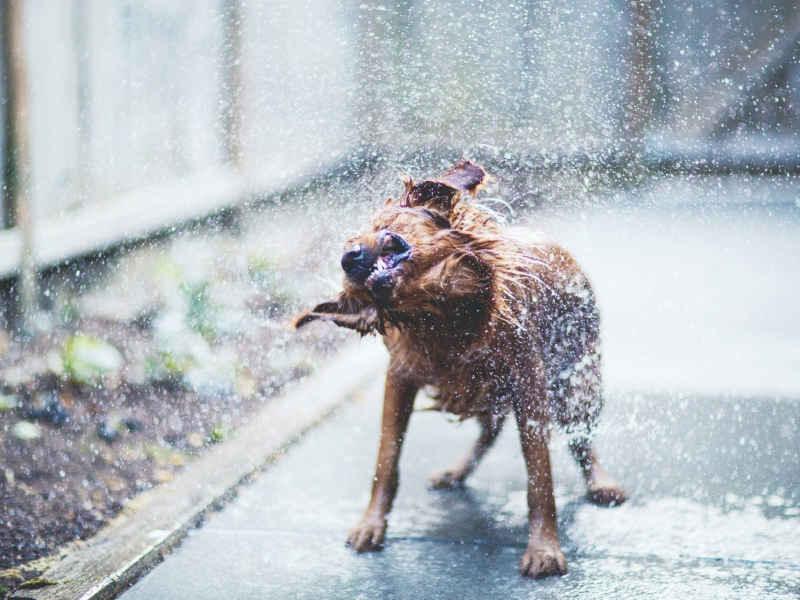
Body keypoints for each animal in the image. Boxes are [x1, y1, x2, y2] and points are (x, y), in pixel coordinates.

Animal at [294, 158, 624, 576]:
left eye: (384, 227)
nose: (347, 258)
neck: (450, 315)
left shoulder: (528, 380)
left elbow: (539, 477)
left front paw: (544, 548)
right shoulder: (400, 378)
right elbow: (386, 461)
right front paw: (371, 525)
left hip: (575, 384)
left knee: (580, 441)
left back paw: (601, 483)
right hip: (485, 393)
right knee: (491, 431)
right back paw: (457, 471)